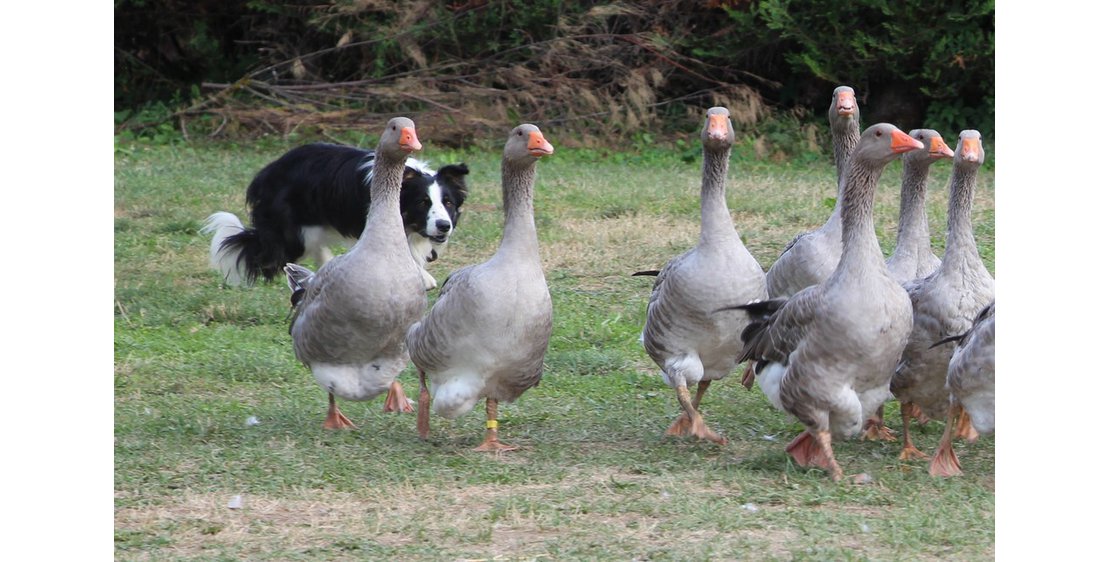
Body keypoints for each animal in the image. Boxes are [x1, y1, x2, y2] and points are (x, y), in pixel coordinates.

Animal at [204, 142, 468, 288]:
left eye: (448, 203)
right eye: (423, 203)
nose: (444, 226)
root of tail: (268, 171)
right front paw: (422, 278)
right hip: (295, 228)